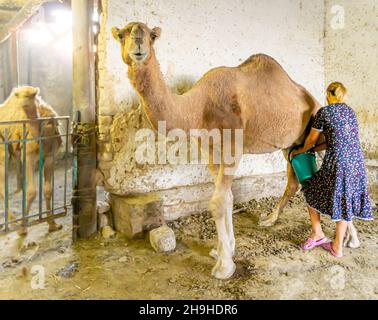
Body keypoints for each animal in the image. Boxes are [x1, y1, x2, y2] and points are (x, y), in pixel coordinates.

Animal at [0, 86, 62, 234]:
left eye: (32, 95)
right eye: (17, 95)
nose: (23, 104)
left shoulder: (50, 156)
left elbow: (48, 190)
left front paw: (52, 224)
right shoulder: (27, 156)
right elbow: (31, 192)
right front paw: (23, 228)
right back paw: (12, 222)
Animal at [111, 21, 360, 278]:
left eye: (152, 36)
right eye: (121, 35)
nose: (138, 45)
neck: (197, 108)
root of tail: (314, 100)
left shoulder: (233, 146)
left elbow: (218, 201)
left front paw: (224, 266)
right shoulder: (210, 149)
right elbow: (227, 197)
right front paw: (224, 250)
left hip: (319, 132)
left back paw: (350, 239)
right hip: (292, 144)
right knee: (293, 181)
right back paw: (269, 220)